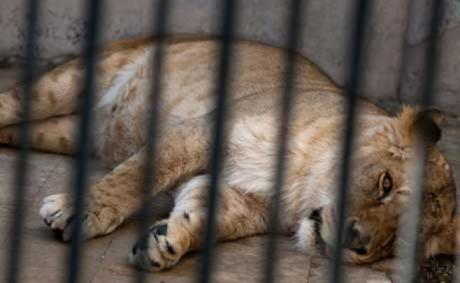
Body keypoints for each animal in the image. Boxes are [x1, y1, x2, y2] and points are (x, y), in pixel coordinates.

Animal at [0, 37, 456, 276]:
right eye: (385, 184)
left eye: (398, 241)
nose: (357, 243)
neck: (300, 187)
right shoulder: (199, 132)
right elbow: (134, 176)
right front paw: (79, 211)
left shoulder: (238, 200)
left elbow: (202, 217)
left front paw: (166, 242)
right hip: (68, 83)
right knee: (11, 101)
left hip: (64, 133)